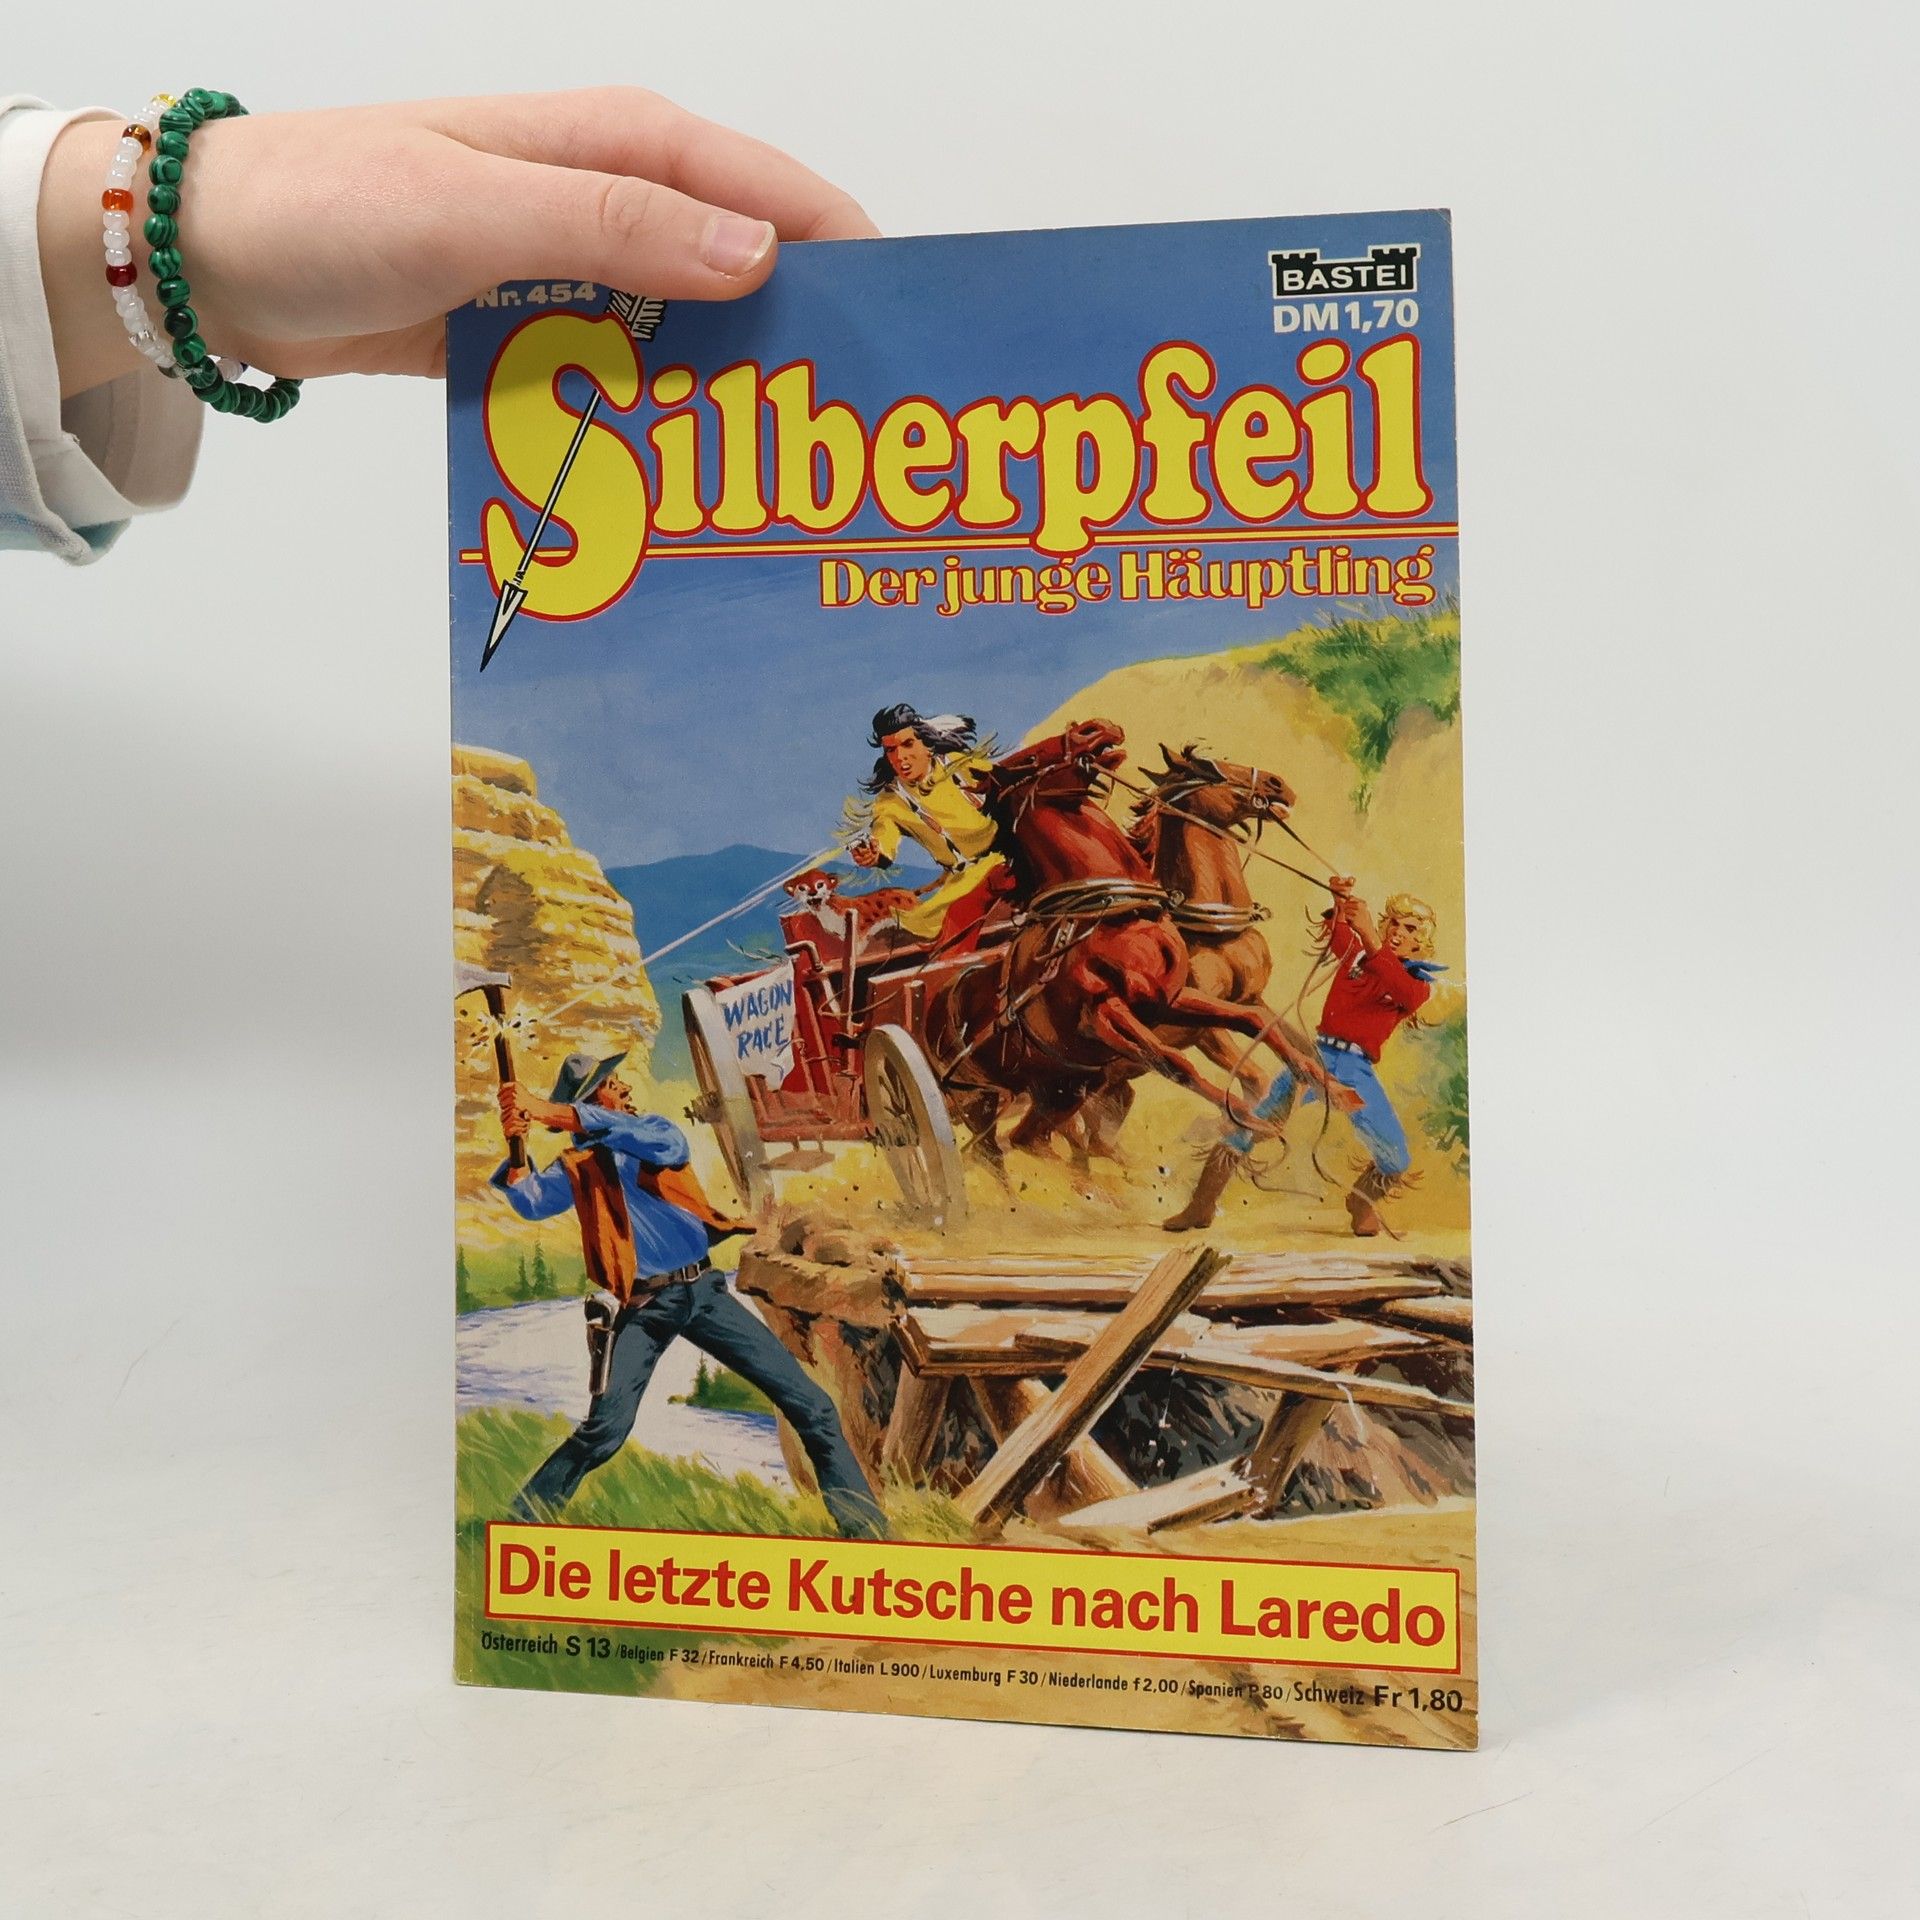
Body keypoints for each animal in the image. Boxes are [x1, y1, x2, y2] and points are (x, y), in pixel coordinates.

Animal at [921, 718, 1309, 1167]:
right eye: (1208, 768)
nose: (1277, 784)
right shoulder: (1113, 1016)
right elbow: (1181, 1063)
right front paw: (1253, 1126)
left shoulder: (1187, 999)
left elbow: (1261, 1029)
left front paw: (1317, 1084)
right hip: (983, 1098)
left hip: (1054, 1092)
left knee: (1041, 1137)